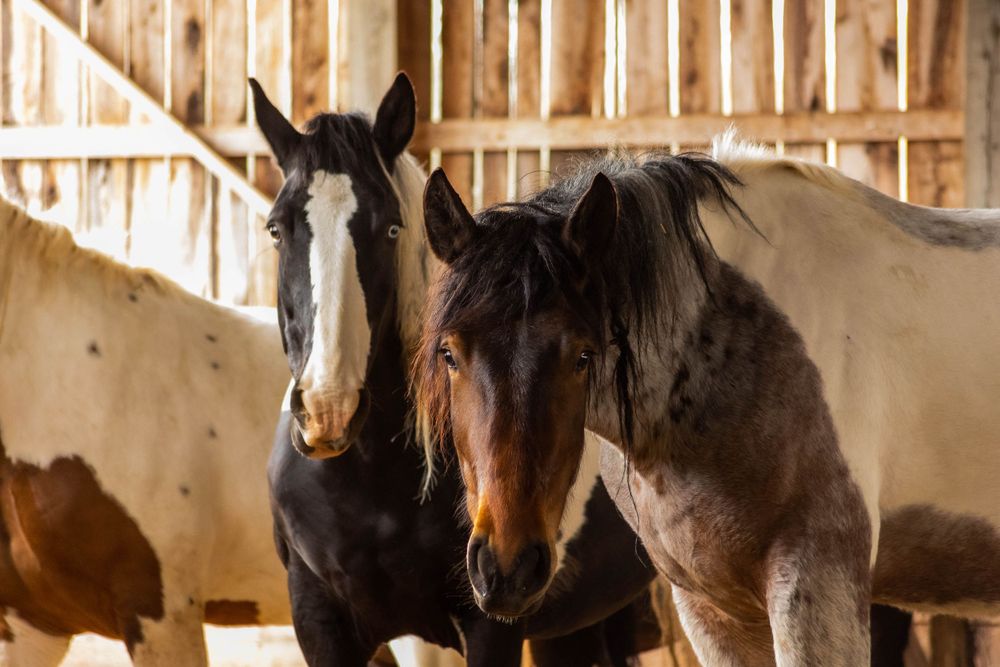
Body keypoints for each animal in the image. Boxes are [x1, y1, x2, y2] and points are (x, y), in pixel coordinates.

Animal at [251, 73, 663, 666]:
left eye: (391, 229)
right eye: (276, 230)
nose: (329, 409)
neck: (373, 485)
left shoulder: (488, 627)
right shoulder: (317, 619)